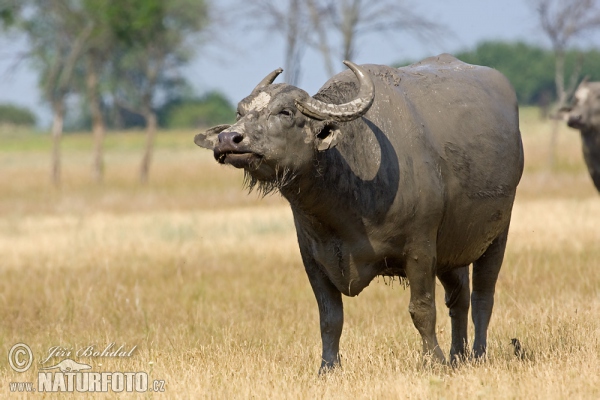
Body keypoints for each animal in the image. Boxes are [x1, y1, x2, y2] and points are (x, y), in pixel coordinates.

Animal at [195, 54, 524, 372]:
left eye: (286, 112)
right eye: (240, 112)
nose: (228, 140)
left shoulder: (420, 250)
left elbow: (422, 309)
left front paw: (434, 361)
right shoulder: (313, 260)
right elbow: (330, 318)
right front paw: (328, 368)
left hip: (498, 234)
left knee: (482, 297)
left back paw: (477, 354)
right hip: (451, 251)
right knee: (459, 298)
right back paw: (459, 355)